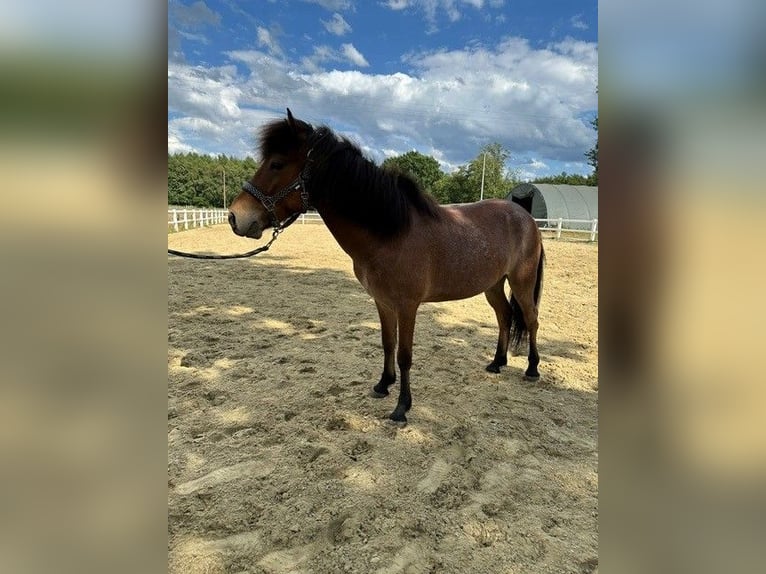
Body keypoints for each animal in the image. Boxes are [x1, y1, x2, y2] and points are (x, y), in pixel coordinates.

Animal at [228, 109, 545, 423]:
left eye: (277, 164)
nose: (234, 216)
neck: (391, 233)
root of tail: (526, 217)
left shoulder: (407, 306)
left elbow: (405, 354)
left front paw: (402, 407)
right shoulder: (382, 302)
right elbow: (387, 343)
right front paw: (383, 385)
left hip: (522, 281)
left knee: (531, 319)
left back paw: (532, 369)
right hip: (493, 284)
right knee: (504, 316)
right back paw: (497, 363)